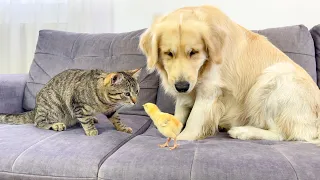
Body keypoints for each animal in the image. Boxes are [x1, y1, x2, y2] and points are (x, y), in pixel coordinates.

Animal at [0, 68, 140, 136]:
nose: (135, 101)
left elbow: (116, 119)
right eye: (127, 94)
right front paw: (91, 130)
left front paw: (122, 127)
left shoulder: (111, 109)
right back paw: (56, 125)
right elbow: (85, 120)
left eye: (137, 91)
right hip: (54, 105)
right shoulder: (78, 105)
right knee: (38, 122)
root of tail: (36, 108)